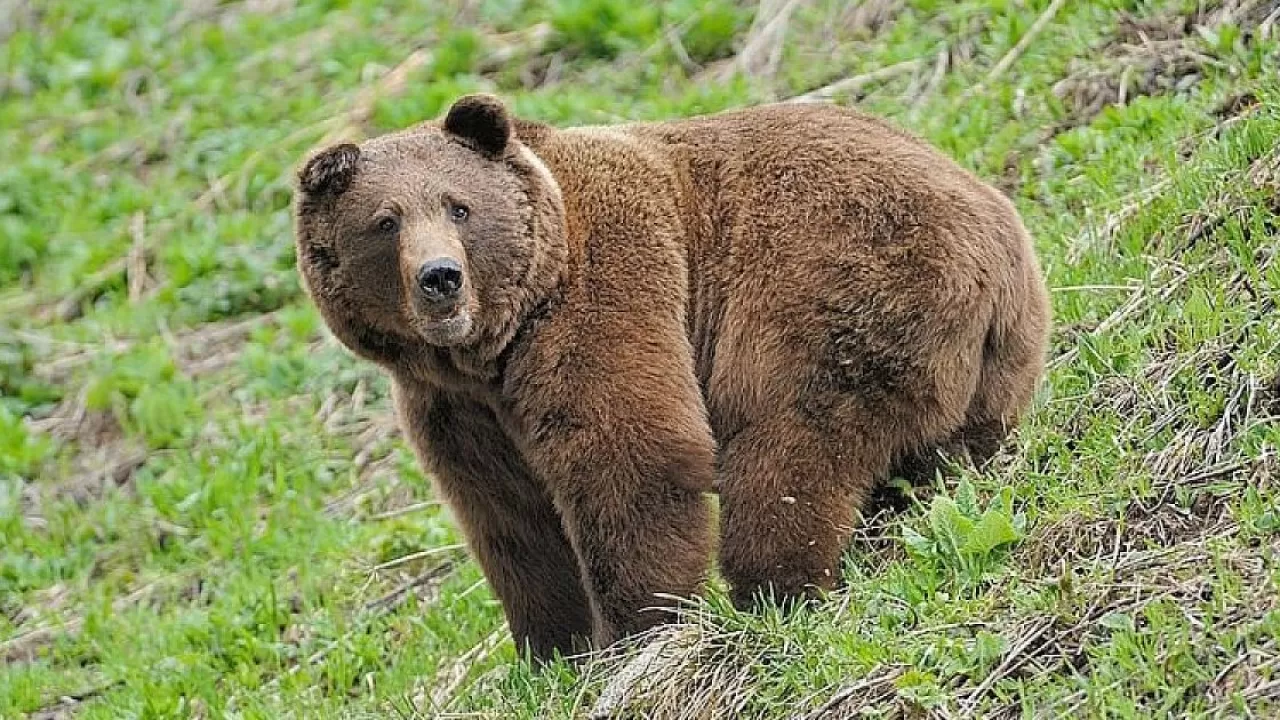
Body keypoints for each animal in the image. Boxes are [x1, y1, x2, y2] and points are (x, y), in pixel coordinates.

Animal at [294, 94, 1054, 661]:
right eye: (384, 221)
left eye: (458, 205)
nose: (441, 278)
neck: (492, 348)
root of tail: (997, 240)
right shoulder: (452, 409)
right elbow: (509, 518)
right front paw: (551, 652)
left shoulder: (604, 295)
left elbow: (631, 457)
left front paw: (639, 630)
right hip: (992, 368)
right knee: (930, 460)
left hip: (833, 288)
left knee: (789, 449)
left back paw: (774, 591)